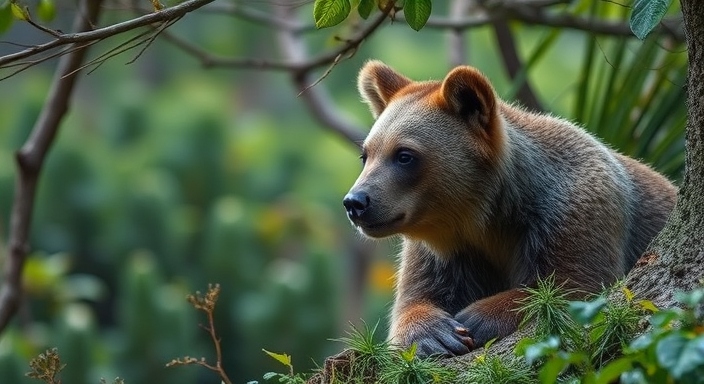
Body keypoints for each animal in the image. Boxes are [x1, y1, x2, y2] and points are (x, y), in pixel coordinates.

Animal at [344, 59, 680, 356]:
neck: (487, 217)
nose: (356, 202)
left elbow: (574, 285)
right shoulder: (445, 251)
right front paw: (436, 334)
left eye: (404, 155)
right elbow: (414, 298)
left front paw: (475, 317)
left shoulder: (575, 211)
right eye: (366, 154)